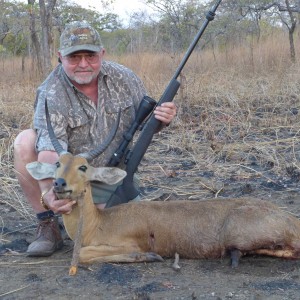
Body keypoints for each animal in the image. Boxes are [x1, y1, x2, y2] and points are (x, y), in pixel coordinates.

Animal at [26, 102, 300, 276]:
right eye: (58, 163)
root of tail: (290, 219)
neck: (99, 222)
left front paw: (149, 256)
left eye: (83, 167)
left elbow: (83, 253)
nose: (59, 184)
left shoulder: (126, 244)